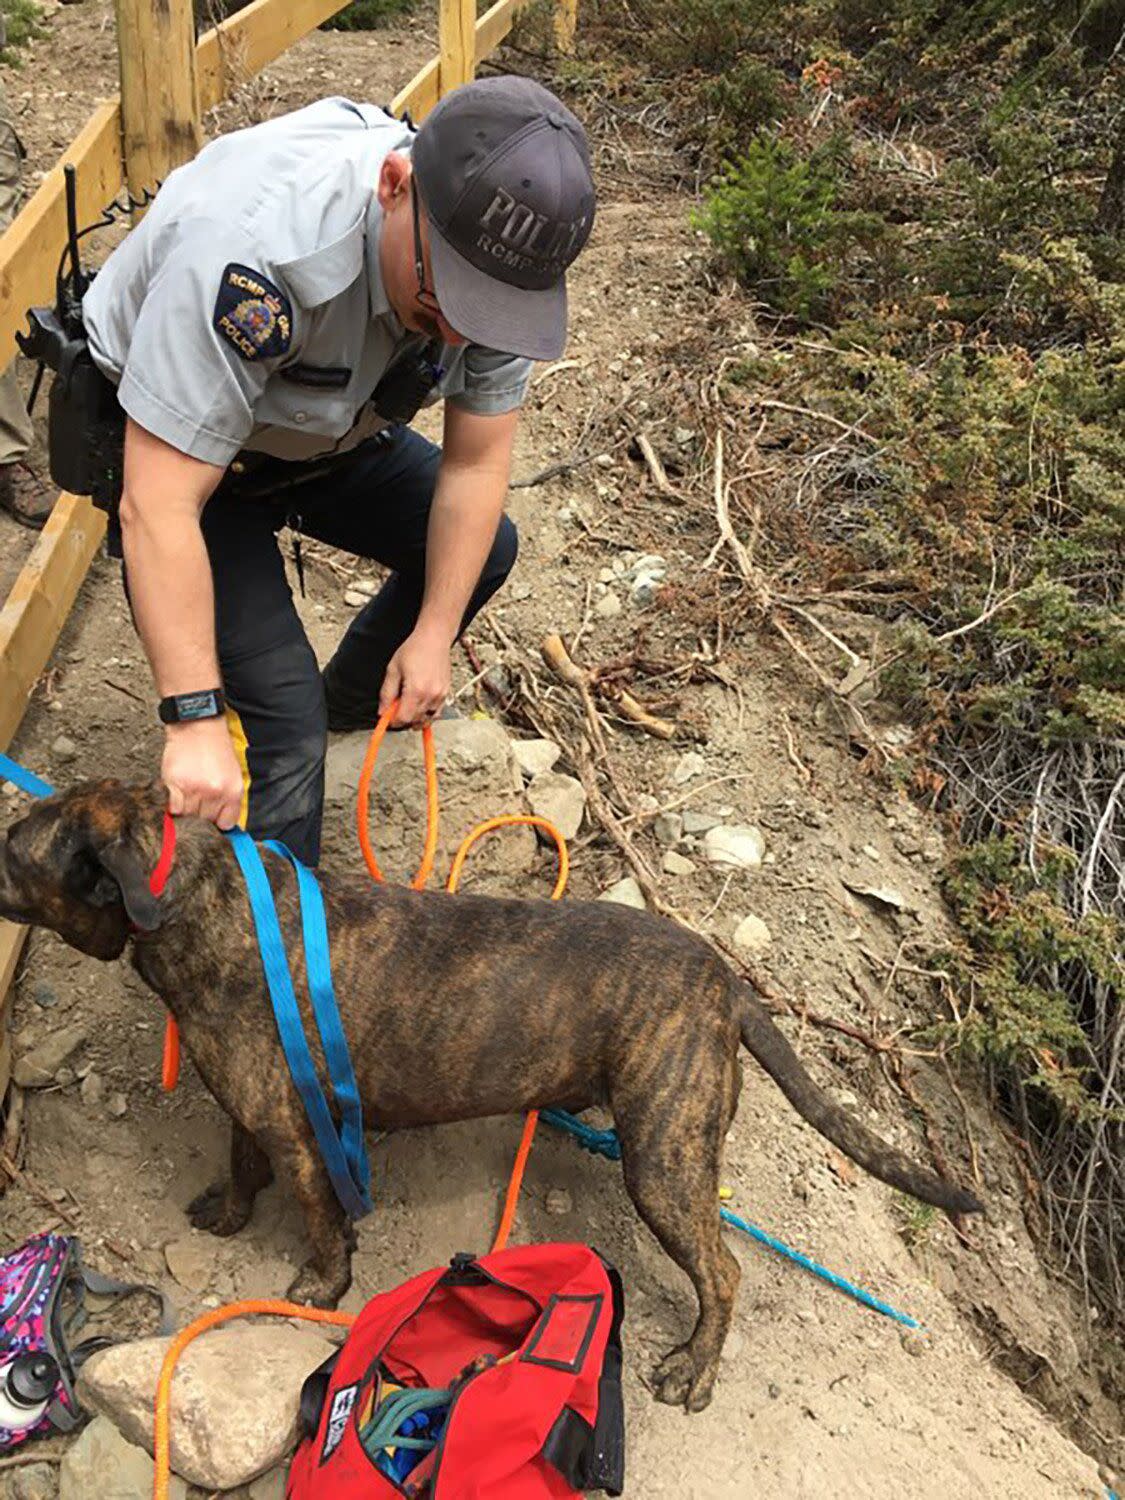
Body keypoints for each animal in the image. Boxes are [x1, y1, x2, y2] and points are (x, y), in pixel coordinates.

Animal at [0, 780, 984, 1410]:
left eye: (10, 853)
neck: (202, 900)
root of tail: (723, 980)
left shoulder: (296, 1128)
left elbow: (318, 1220)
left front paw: (318, 1284)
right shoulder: (258, 1105)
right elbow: (239, 1162)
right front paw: (230, 1211)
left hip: (663, 1162)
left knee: (725, 1270)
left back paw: (694, 1366)